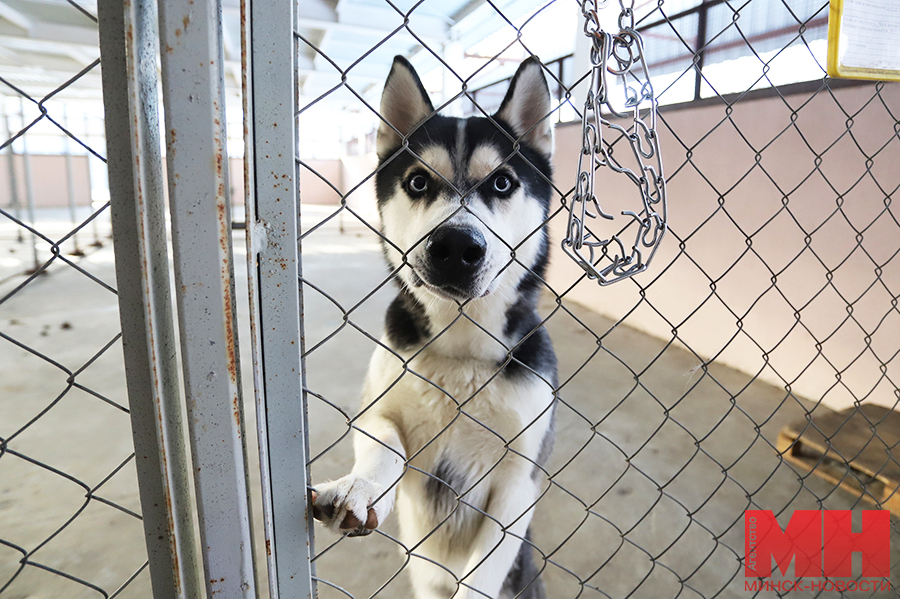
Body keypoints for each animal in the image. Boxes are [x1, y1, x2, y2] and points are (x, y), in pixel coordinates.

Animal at [312, 56, 560, 599]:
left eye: (503, 183)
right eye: (418, 182)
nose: (456, 247)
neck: (461, 352)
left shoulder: (518, 481)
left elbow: (485, 565)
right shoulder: (376, 411)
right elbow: (384, 446)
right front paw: (360, 487)